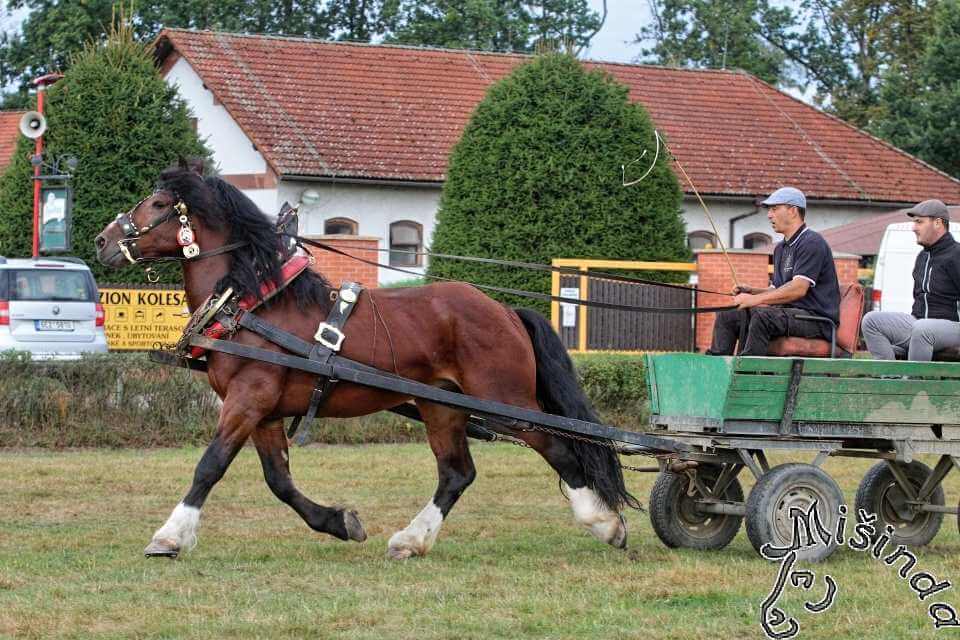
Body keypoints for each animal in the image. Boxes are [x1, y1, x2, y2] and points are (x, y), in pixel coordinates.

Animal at [95, 166, 636, 560]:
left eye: (159, 205)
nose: (103, 240)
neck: (252, 303)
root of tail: (504, 310)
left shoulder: (249, 400)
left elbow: (209, 466)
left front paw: (169, 537)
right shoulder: (264, 411)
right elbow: (279, 481)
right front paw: (339, 522)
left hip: (505, 404)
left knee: (560, 450)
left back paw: (605, 524)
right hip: (443, 406)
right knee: (457, 473)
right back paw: (411, 540)